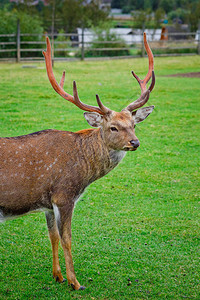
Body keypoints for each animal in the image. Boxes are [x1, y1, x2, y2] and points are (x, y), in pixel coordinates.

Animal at [0, 32, 155, 290]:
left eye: (134, 124)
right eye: (113, 127)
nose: (135, 142)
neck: (84, 172)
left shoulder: (47, 202)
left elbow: (52, 236)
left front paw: (58, 275)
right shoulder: (64, 195)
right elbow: (67, 239)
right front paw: (75, 282)